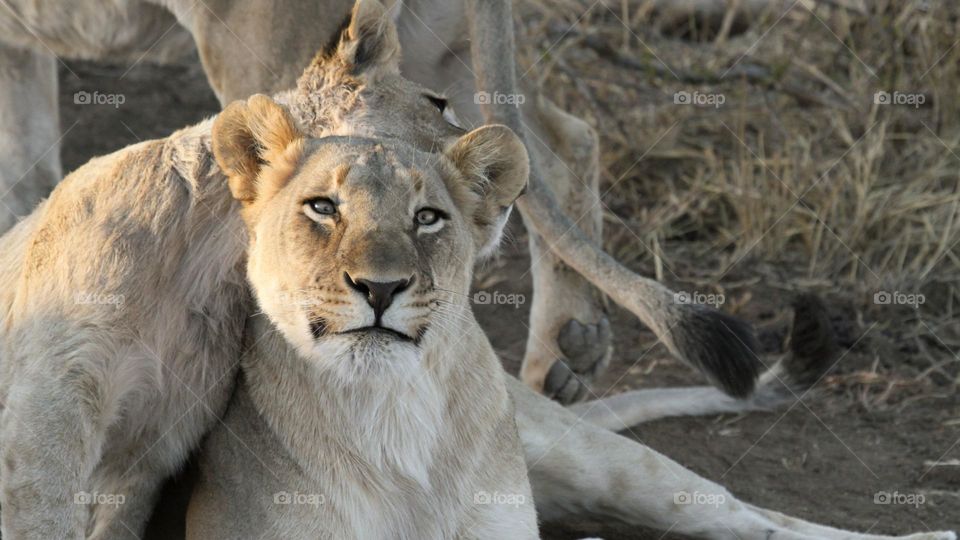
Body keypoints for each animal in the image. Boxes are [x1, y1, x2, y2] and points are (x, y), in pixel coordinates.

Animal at [0, 4, 953, 539]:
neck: (199, 262)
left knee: (755, 518)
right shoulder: (55, 438)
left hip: (605, 469)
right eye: (434, 102)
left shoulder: (144, 455)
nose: (496, 157)